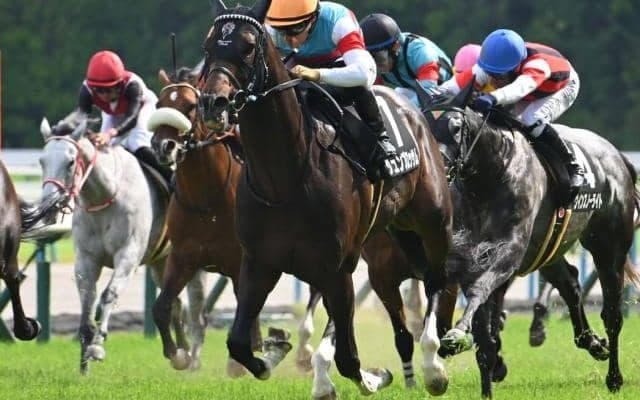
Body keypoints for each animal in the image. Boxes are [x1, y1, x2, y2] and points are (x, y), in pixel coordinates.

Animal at [39, 112, 190, 374]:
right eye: (41, 161)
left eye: (70, 162)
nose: (49, 205)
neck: (105, 195)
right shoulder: (86, 260)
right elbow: (88, 302)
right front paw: (84, 366)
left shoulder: (128, 255)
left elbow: (109, 294)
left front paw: (98, 345)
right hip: (161, 259)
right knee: (176, 301)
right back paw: (181, 353)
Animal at [147, 66, 265, 374]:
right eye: (159, 105)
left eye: (190, 106)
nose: (163, 146)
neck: (206, 201)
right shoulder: (182, 258)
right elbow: (162, 305)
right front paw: (178, 354)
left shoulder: (238, 262)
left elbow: (244, 304)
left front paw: (242, 359)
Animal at [200, 1, 454, 398]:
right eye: (209, 46)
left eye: (248, 47)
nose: (213, 103)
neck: (284, 178)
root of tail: (411, 108)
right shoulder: (259, 262)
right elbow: (239, 343)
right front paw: (276, 352)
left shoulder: (336, 268)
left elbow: (349, 358)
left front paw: (373, 377)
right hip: (397, 229)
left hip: (432, 220)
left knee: (436, 278)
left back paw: (432, 366)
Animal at [427, 95, 640, 397]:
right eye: (426, 126)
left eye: (456, 128)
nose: (439, 169)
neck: (493, 172)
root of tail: (619, 157)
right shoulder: (472, 258)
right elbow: (485, 339)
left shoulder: (508, 253)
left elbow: (482, 296)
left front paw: (457, 335)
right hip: (548, 251)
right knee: (570, 284)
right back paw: (591, 342)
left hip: (609, 248)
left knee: (612, 315)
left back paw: (614, 378)